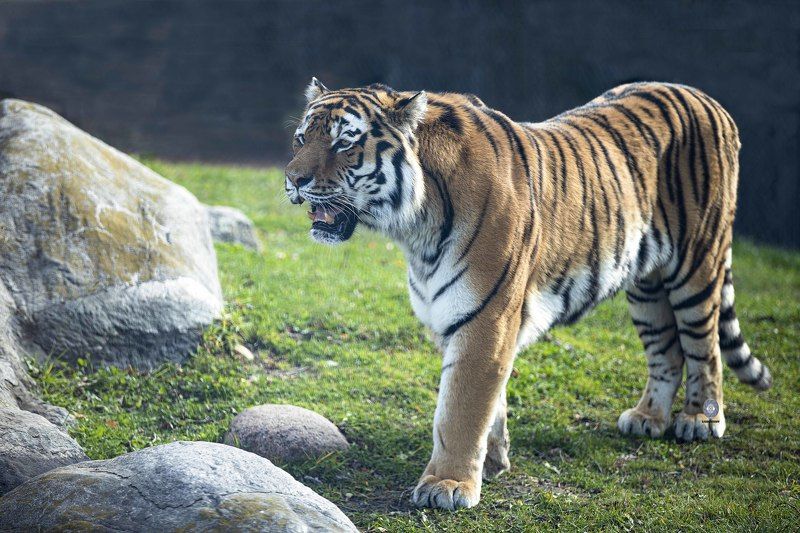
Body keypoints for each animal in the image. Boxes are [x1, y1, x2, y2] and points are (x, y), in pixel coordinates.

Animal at [284, 78, 772, 510]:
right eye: (301, 138)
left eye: (344, 143)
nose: (293, 180)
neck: (415, 227)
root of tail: (708, 99)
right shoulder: (457, 316)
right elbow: (489, 400)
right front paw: (493, 461)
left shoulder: (486, 319)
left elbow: (459, 409)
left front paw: (448, 484)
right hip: (646, 284)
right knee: (666, 351)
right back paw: (647, 418)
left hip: (697, 263)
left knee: (704, 346)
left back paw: (700, 420)